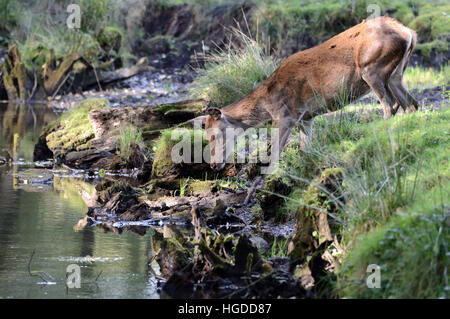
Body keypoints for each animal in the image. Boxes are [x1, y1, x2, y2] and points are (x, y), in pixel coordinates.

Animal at [190, 16, 418, 172]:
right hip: (396, 74)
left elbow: (276, 152)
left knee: (390, 105)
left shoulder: (286, 115)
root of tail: (409, 33)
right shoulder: (307, 117)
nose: (214, 165)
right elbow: (303, 150)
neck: (267, 102)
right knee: (411, 103)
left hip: (371, 67)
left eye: (215, 134)